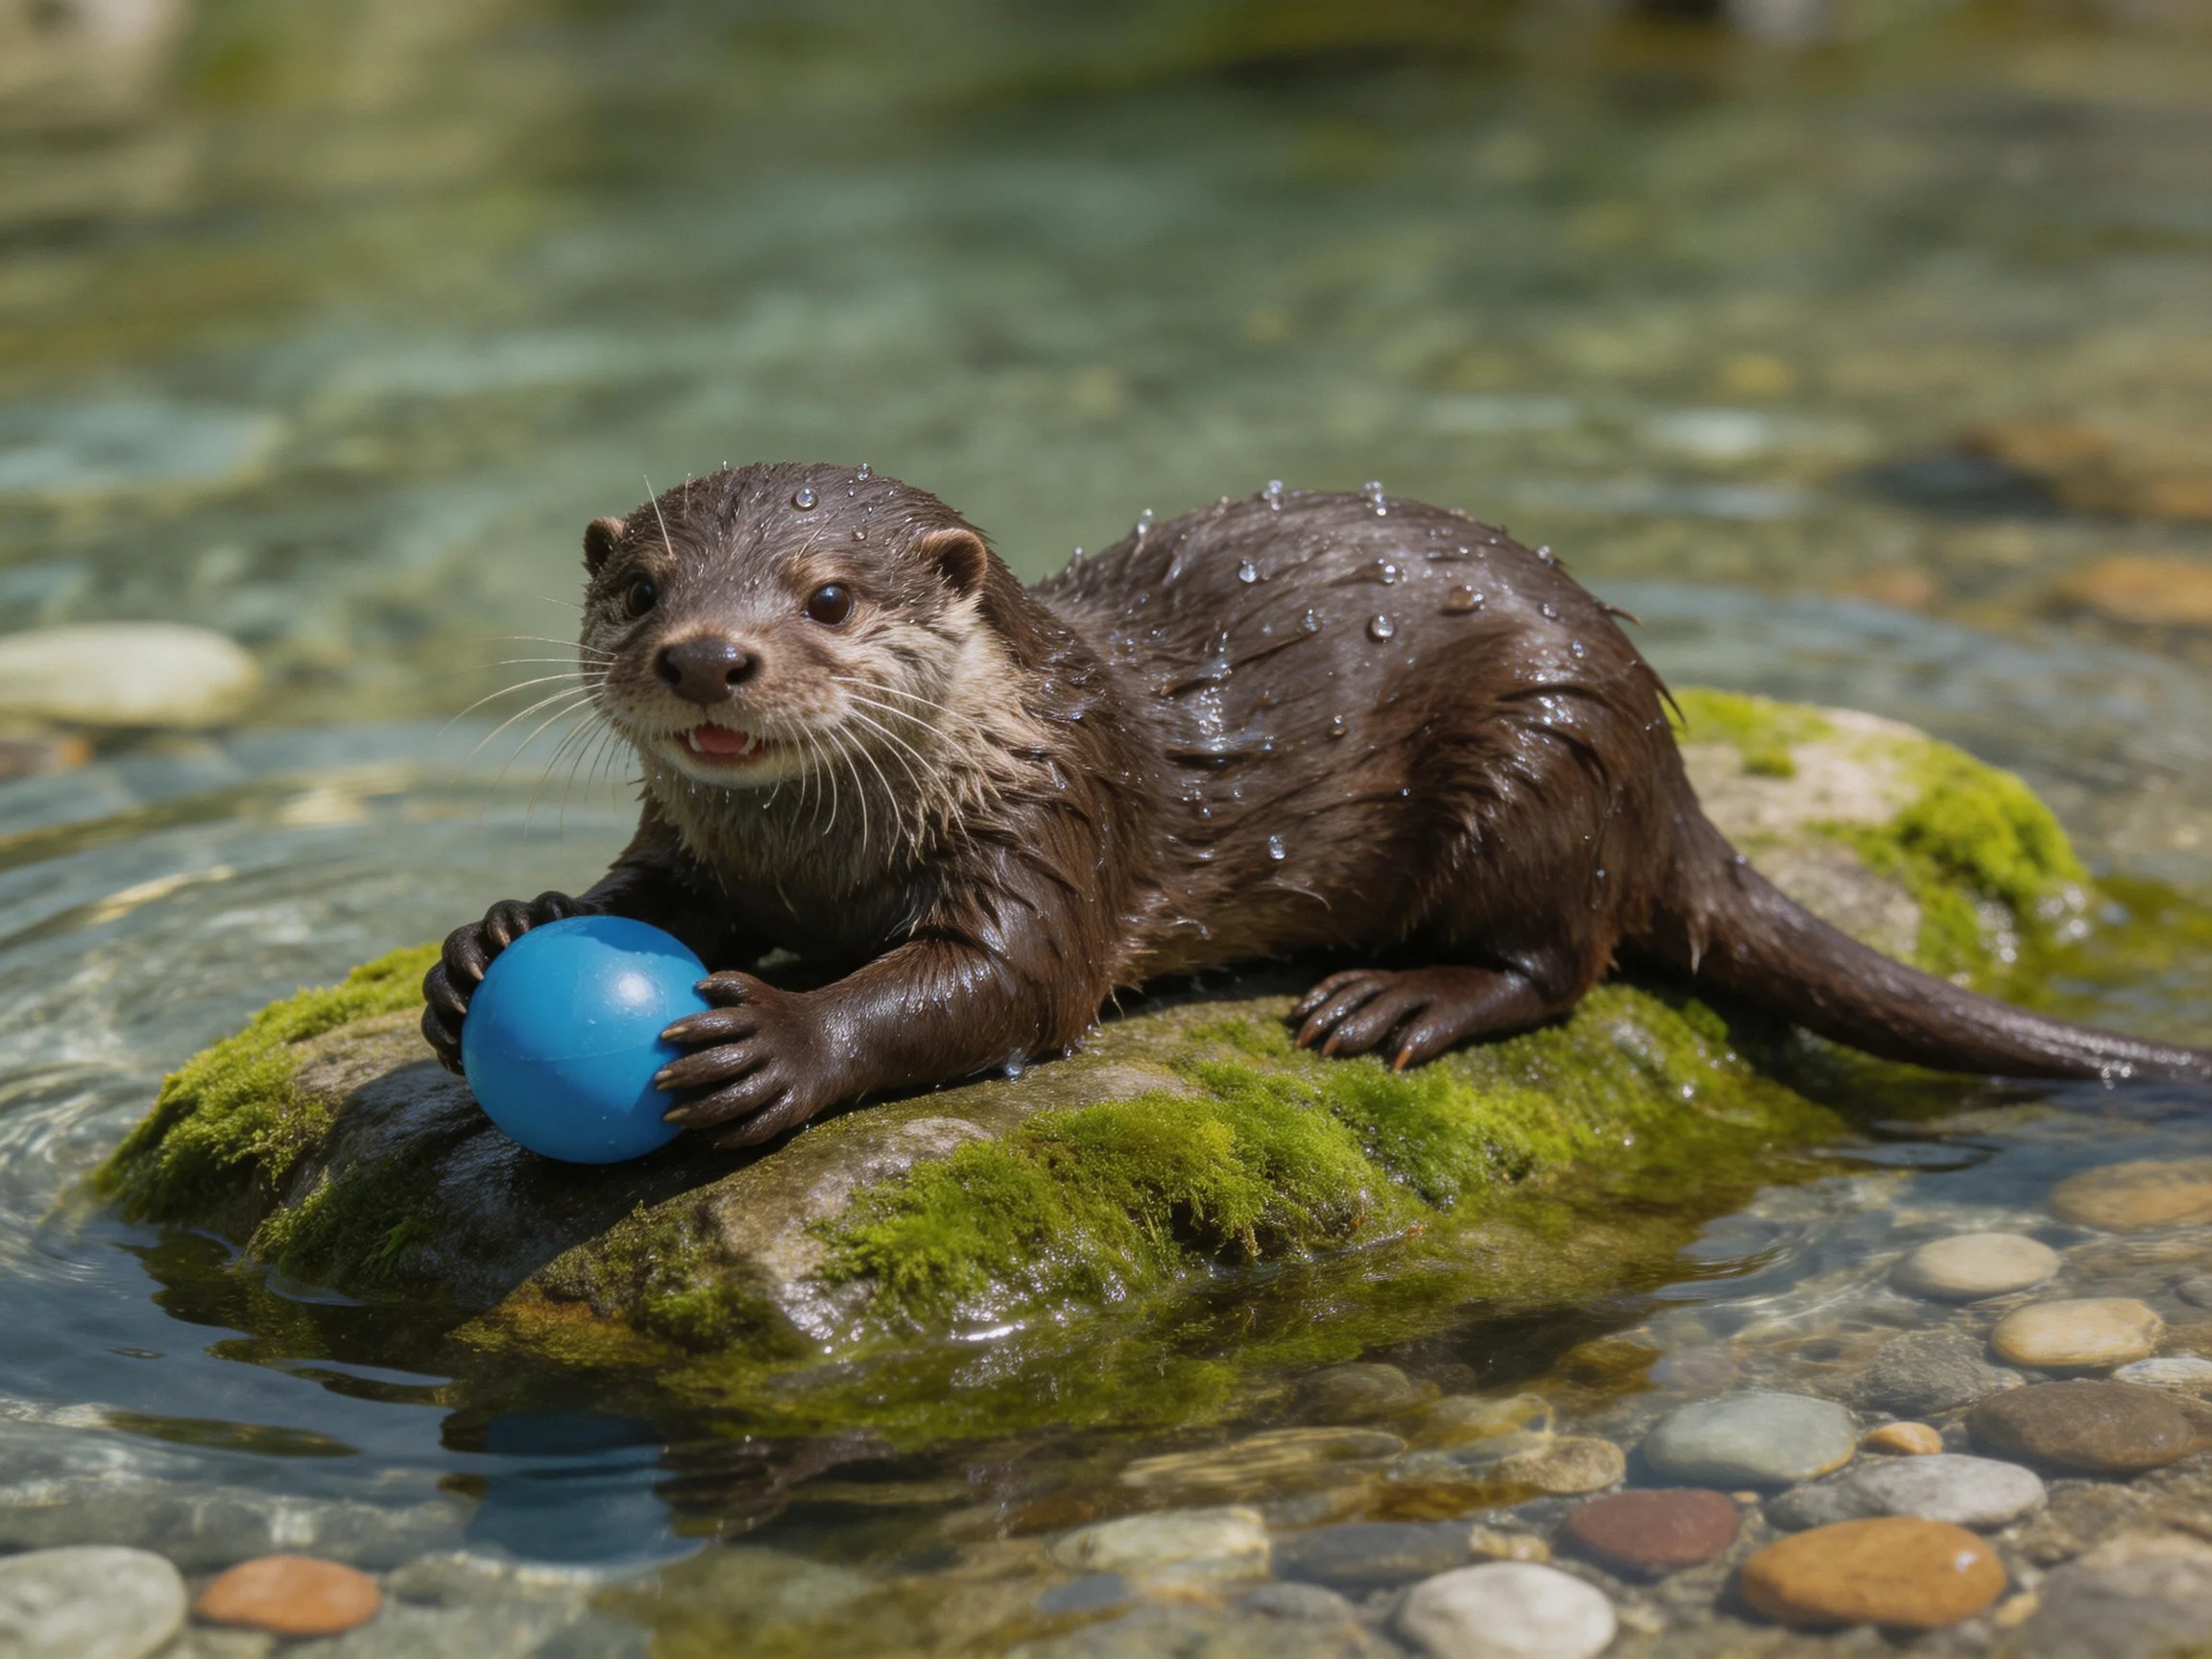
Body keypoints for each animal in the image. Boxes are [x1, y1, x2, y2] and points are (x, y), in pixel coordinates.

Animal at [422, 462, 2212, 1148]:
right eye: (642, 588)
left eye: (829, 597)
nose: (705, 655)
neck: (826, 864)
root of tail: (1664, 759)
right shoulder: (702, 845)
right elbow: (646, 894)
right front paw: (496, 936)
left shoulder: (1052, 823)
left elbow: (1002, 983)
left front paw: (780, 1041)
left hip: (1539, 754)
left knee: (1564, 961)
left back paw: (1394, 1002)